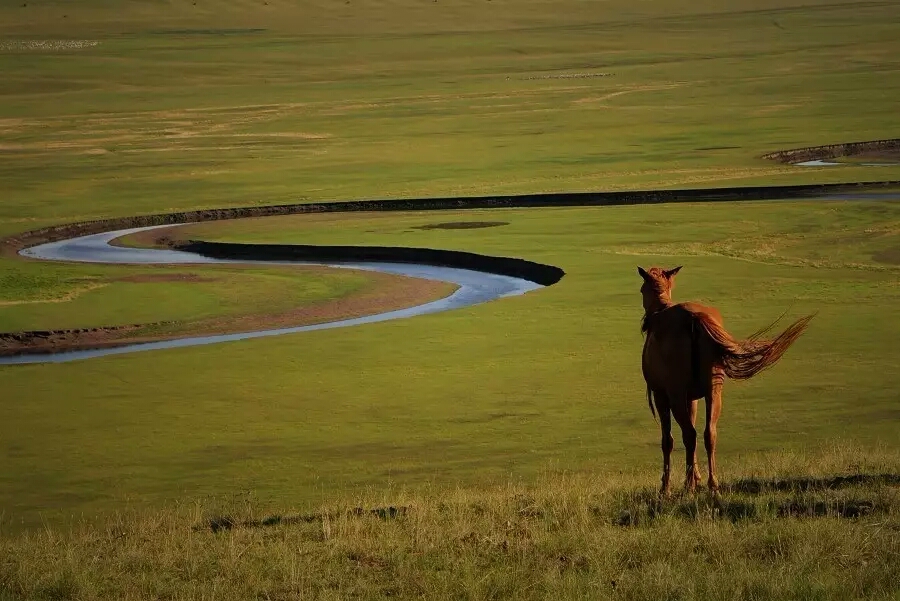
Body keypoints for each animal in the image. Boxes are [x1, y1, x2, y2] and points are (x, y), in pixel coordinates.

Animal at [640, 264, 816, 494]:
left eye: (642, 290)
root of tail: (694, 318)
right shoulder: (692, 398)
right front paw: (694, 478)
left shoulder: (662, 395)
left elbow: (667, 440)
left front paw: (667, 487)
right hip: (714, 391)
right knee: (709, 433)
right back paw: (712, 484)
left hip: (677, 394)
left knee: (690, 434)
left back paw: (691, 487)